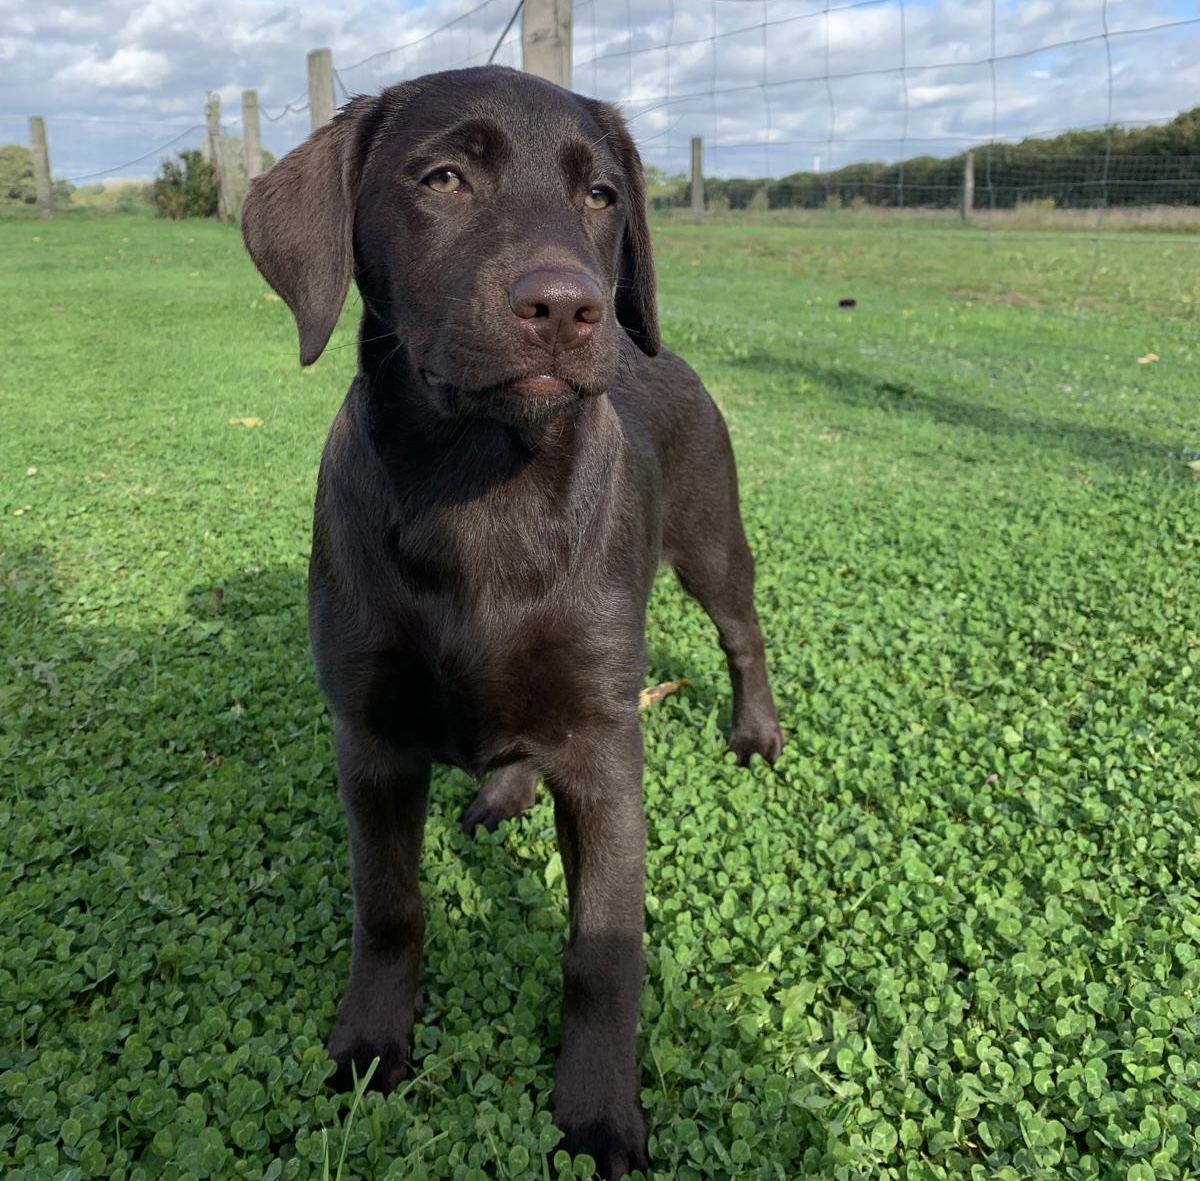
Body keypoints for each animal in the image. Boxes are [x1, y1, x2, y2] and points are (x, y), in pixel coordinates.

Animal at [241, 64, 782, 1180]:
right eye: (444, 177)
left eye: (602, 196)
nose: (572, 307)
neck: (480, 481)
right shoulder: (369, 737)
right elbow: (389, 906)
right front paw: (370, 1042)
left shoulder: (607, 748)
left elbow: (603, 952)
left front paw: (597, 1110)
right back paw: (506, 791)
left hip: (711, 540)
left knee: (741, 630)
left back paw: (755, 730)